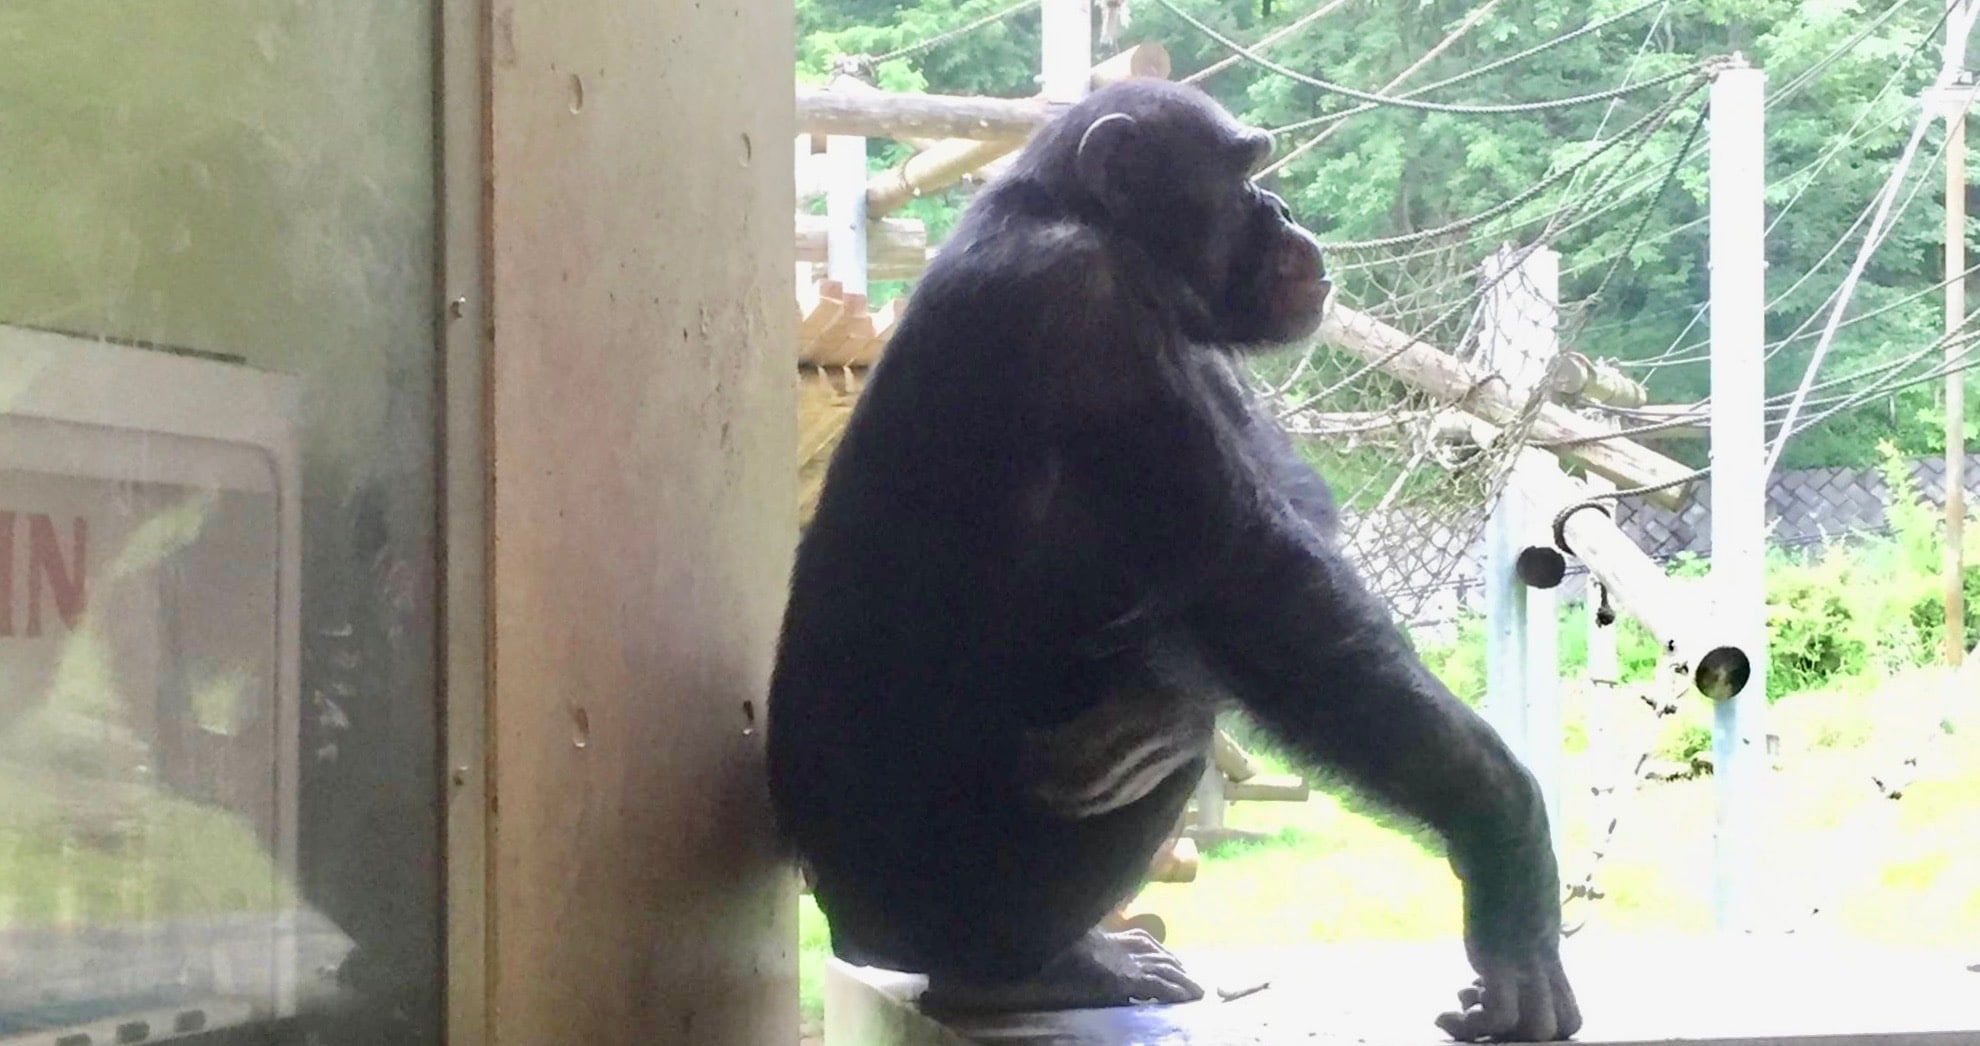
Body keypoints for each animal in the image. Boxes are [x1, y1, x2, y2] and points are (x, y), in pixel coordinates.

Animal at [764, 77, 1584, 1038]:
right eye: (1243, 171)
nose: (1281, 207)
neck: (1085, 223)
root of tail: (846, 929)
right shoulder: (1087, 318)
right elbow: (1267, 595)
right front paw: (1507, 858)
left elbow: (1292, 510)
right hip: (933, 906)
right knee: (1156, 731)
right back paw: (1027, 973)